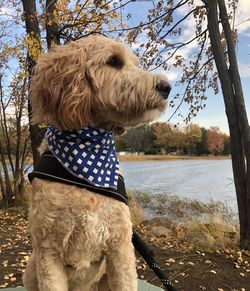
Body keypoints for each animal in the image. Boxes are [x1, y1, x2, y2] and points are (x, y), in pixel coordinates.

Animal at [23, 36, 171, 291]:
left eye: (135, 64)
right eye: (113, 61)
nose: (166, 87)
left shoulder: (120, 247)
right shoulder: (48, 252)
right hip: (32, 268)